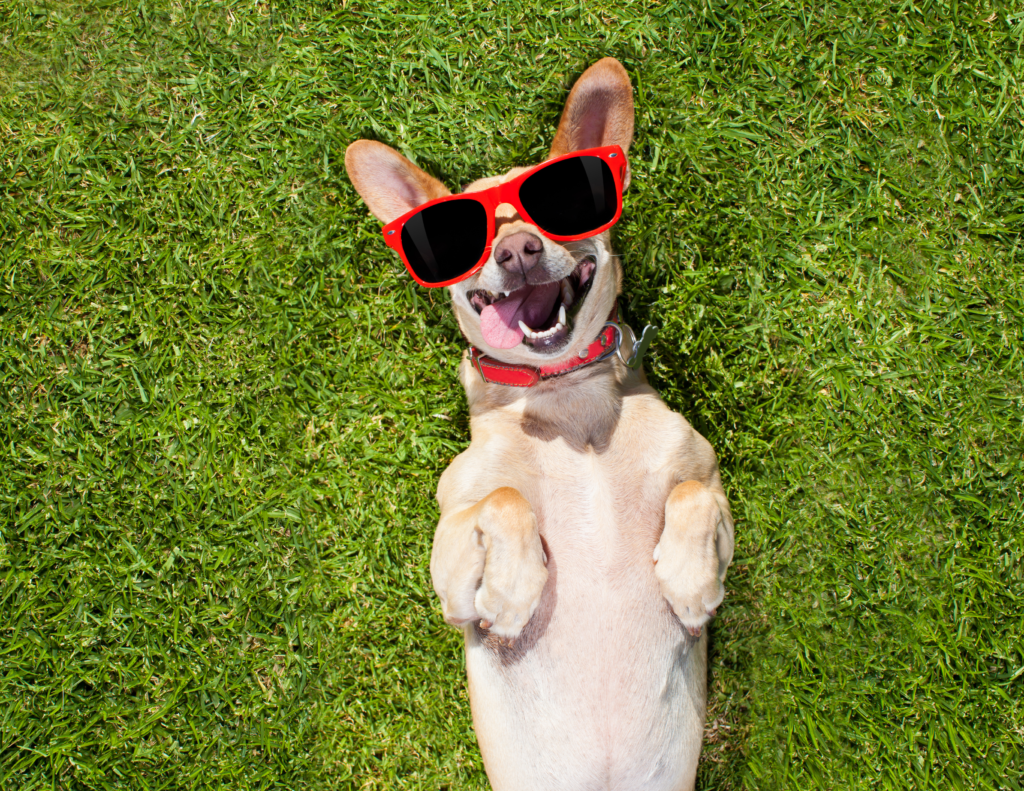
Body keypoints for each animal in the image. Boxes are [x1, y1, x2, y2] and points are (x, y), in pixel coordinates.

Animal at [348, 57, 733, 790]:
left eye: (553, 209)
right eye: (464, 239)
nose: (521, 251)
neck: (566, 400)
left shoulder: (709, 480)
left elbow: (694, 495)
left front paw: (690, 580)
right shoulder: (450, 572)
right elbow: (504, 499)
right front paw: (513, 589)